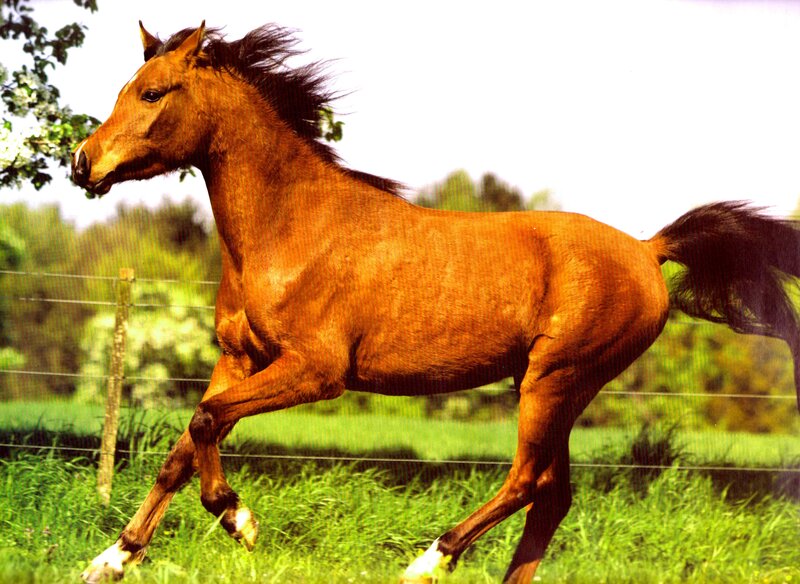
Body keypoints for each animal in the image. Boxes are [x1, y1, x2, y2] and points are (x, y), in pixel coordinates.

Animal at [71, 22, 800, 584]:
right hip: (562, 387)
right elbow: (187, 441)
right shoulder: (240, 358)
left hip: (554, 379)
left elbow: (204, 423)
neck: (291, 228)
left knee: (528, 481)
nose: (83, 164)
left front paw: (240, 520)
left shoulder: (315, 372)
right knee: (552, 497)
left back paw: (428, 560)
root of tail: (648, 250)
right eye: (123, 89)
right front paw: (112, 558)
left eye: (153, 92)